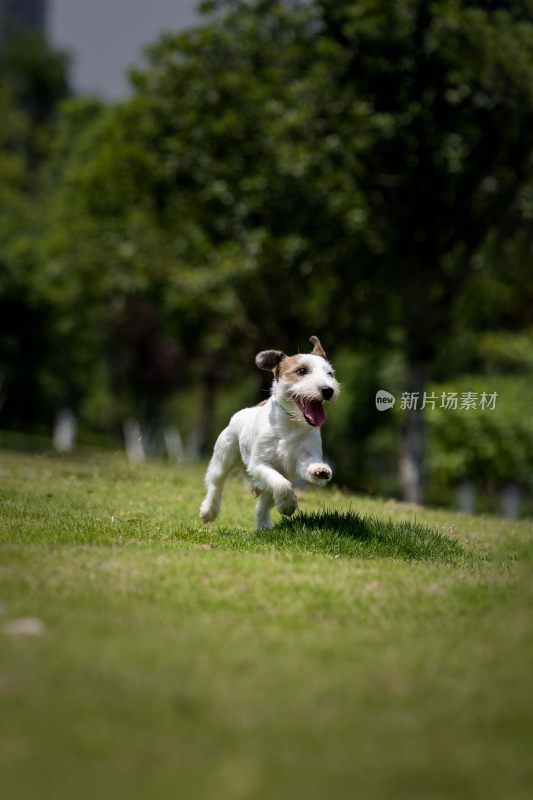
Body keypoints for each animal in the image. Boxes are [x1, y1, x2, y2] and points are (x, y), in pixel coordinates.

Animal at [197, 334, 338, 528]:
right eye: (302, 371)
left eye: (330, 374)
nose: (328, 390)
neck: (290, 424)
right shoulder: (259, 464)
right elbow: (281, 484)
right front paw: (288, 504)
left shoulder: (302, 458)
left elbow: (304, 469)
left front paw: (320, 470)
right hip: (223, 458)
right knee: (216, 484)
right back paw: (209, 511)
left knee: (264, 504)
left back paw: (263, 526)